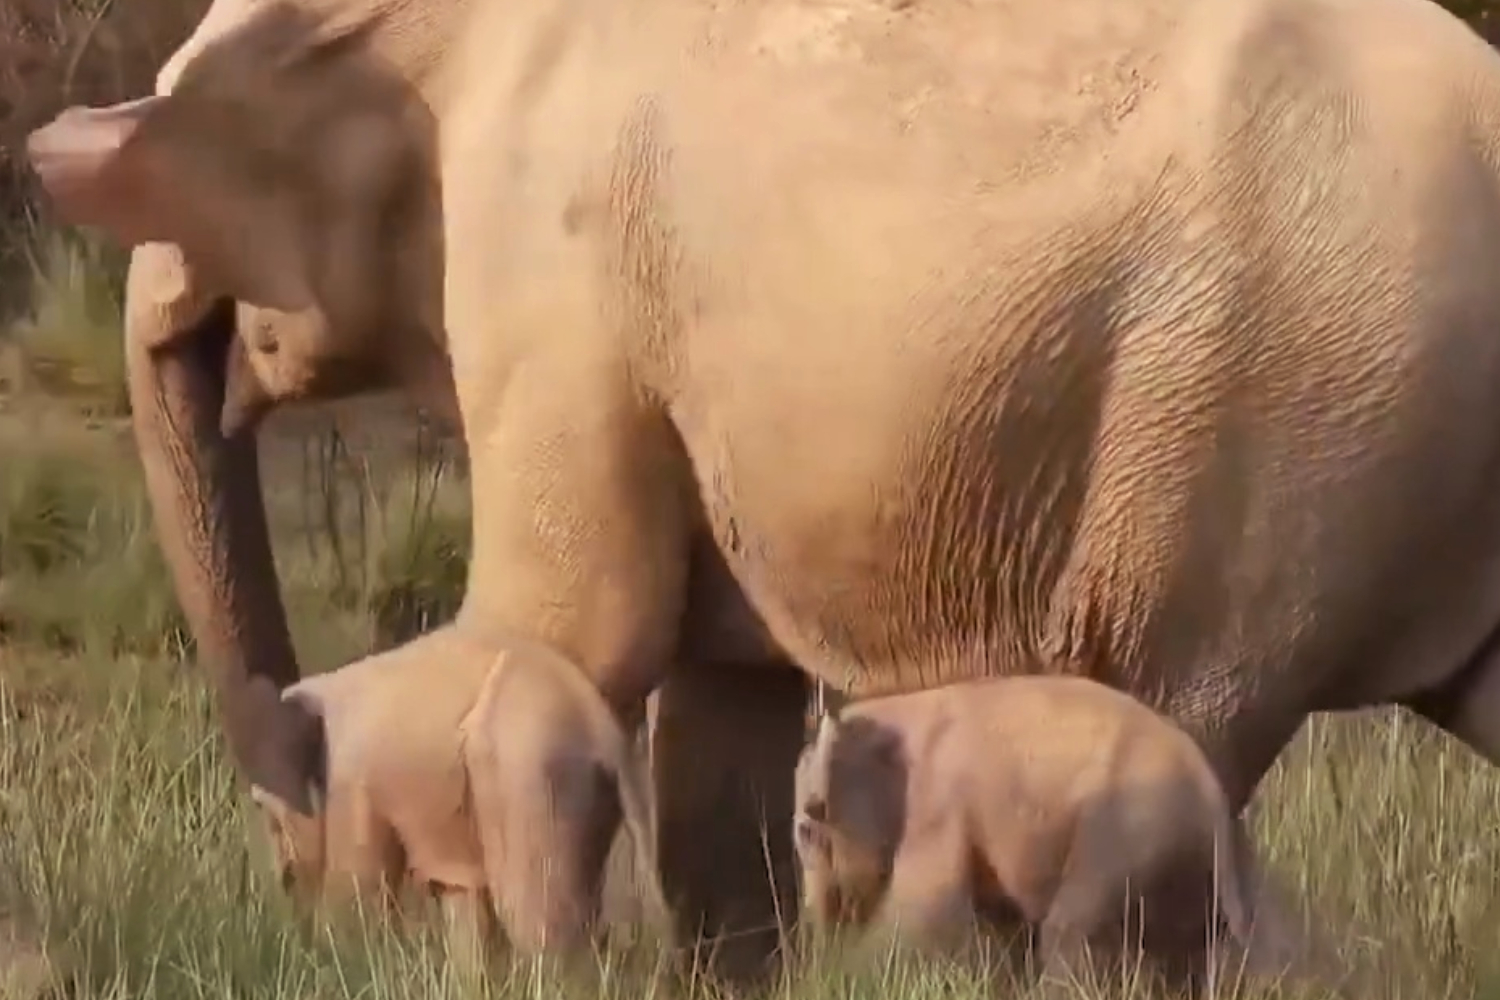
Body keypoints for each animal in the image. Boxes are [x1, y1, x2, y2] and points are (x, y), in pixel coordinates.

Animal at [26, 0, 1500, 981]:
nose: (296, 886)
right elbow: (717, 730)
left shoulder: (554, 275)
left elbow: (570, 631)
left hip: (1265, 416)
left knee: (1178, 708)